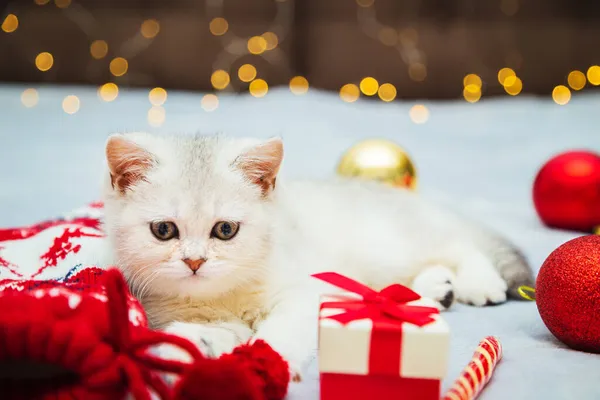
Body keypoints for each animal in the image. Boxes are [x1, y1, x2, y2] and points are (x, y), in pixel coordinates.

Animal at [101, 132, 532, 382]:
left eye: (225, 230)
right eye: (164, 230)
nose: (194, 262)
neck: (224, 295)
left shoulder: (302, 295)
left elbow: (280, 331)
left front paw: (268, 360)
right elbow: (212, 332)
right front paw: (193, 344)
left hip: (387, 245)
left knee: (460, 245)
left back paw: (478, 282)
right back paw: (435, 289)